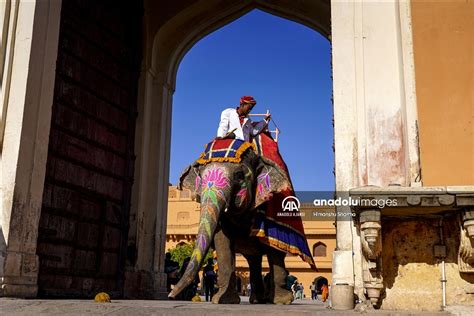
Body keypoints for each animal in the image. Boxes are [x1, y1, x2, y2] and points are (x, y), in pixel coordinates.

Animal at [168, 138, 316, 304]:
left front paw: (282, 301)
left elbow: (274, 250)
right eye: (200, 176)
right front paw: (223, 300)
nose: (171, 295)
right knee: (254, 260)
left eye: (239, 175)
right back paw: (257, 299)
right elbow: (222, 242)